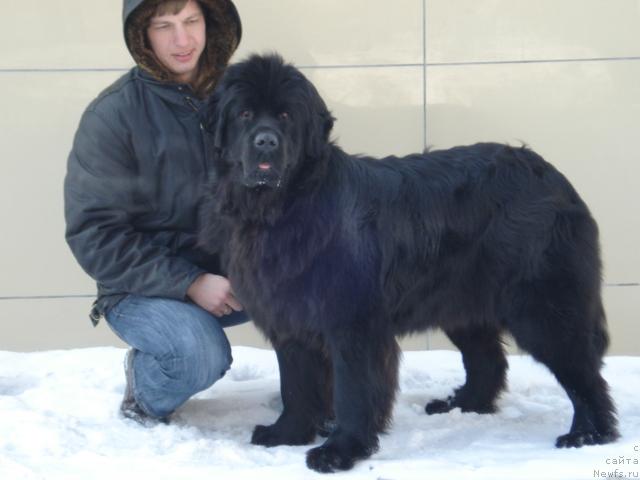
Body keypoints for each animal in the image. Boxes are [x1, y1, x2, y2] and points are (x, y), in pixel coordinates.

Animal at [199, 54, 616, 470]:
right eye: (245, 113)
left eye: (285, 116)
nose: (266, 141)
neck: (283, 207)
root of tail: (554, 177)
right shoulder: (289, 318)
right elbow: (296, 384)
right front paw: (287, 433)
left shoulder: (353, 323)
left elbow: (353, 391)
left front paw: (340, 450)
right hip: (462, 302)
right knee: (488, 360)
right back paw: (461, 405)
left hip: (543, 308)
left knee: (582, 370)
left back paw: (588, 434)